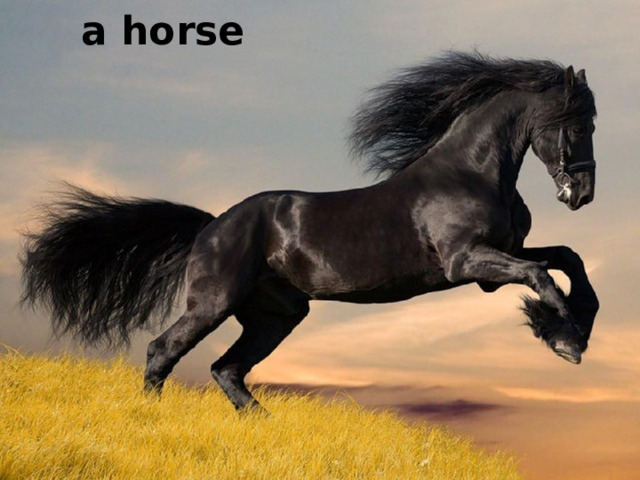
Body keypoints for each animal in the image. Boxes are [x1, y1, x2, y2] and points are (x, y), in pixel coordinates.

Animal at [21, 52, 599, 413]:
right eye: (577, 122)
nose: (583, 193)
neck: (470, 172)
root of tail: (211, 226)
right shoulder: (468, 263)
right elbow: (542, 276)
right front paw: (563, 338)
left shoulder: (497, 259)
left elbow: (567, 259)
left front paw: (572, 328)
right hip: (214, 302)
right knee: (163, 351)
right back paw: (153, 417)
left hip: (276, 315)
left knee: (227, 369)